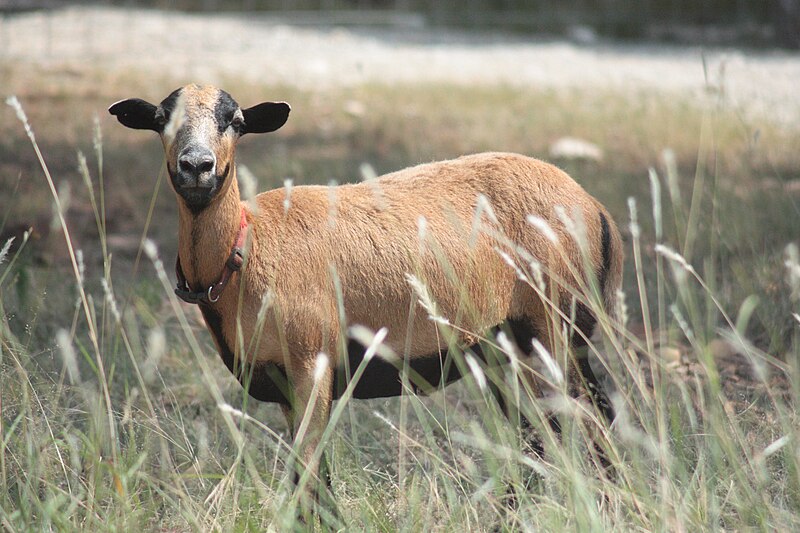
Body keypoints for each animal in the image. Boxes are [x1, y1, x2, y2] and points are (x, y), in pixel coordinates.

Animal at [109, 83, 623, 515]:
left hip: (557, 326)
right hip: (502, 347)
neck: (247, 248)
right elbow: (315, 476)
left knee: (590, 416)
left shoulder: (311, 363)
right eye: (160, 119)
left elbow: (307, 471)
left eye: (235, 120)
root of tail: (596, 209)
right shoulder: (283, 382)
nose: (197, 167)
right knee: (537, 431)